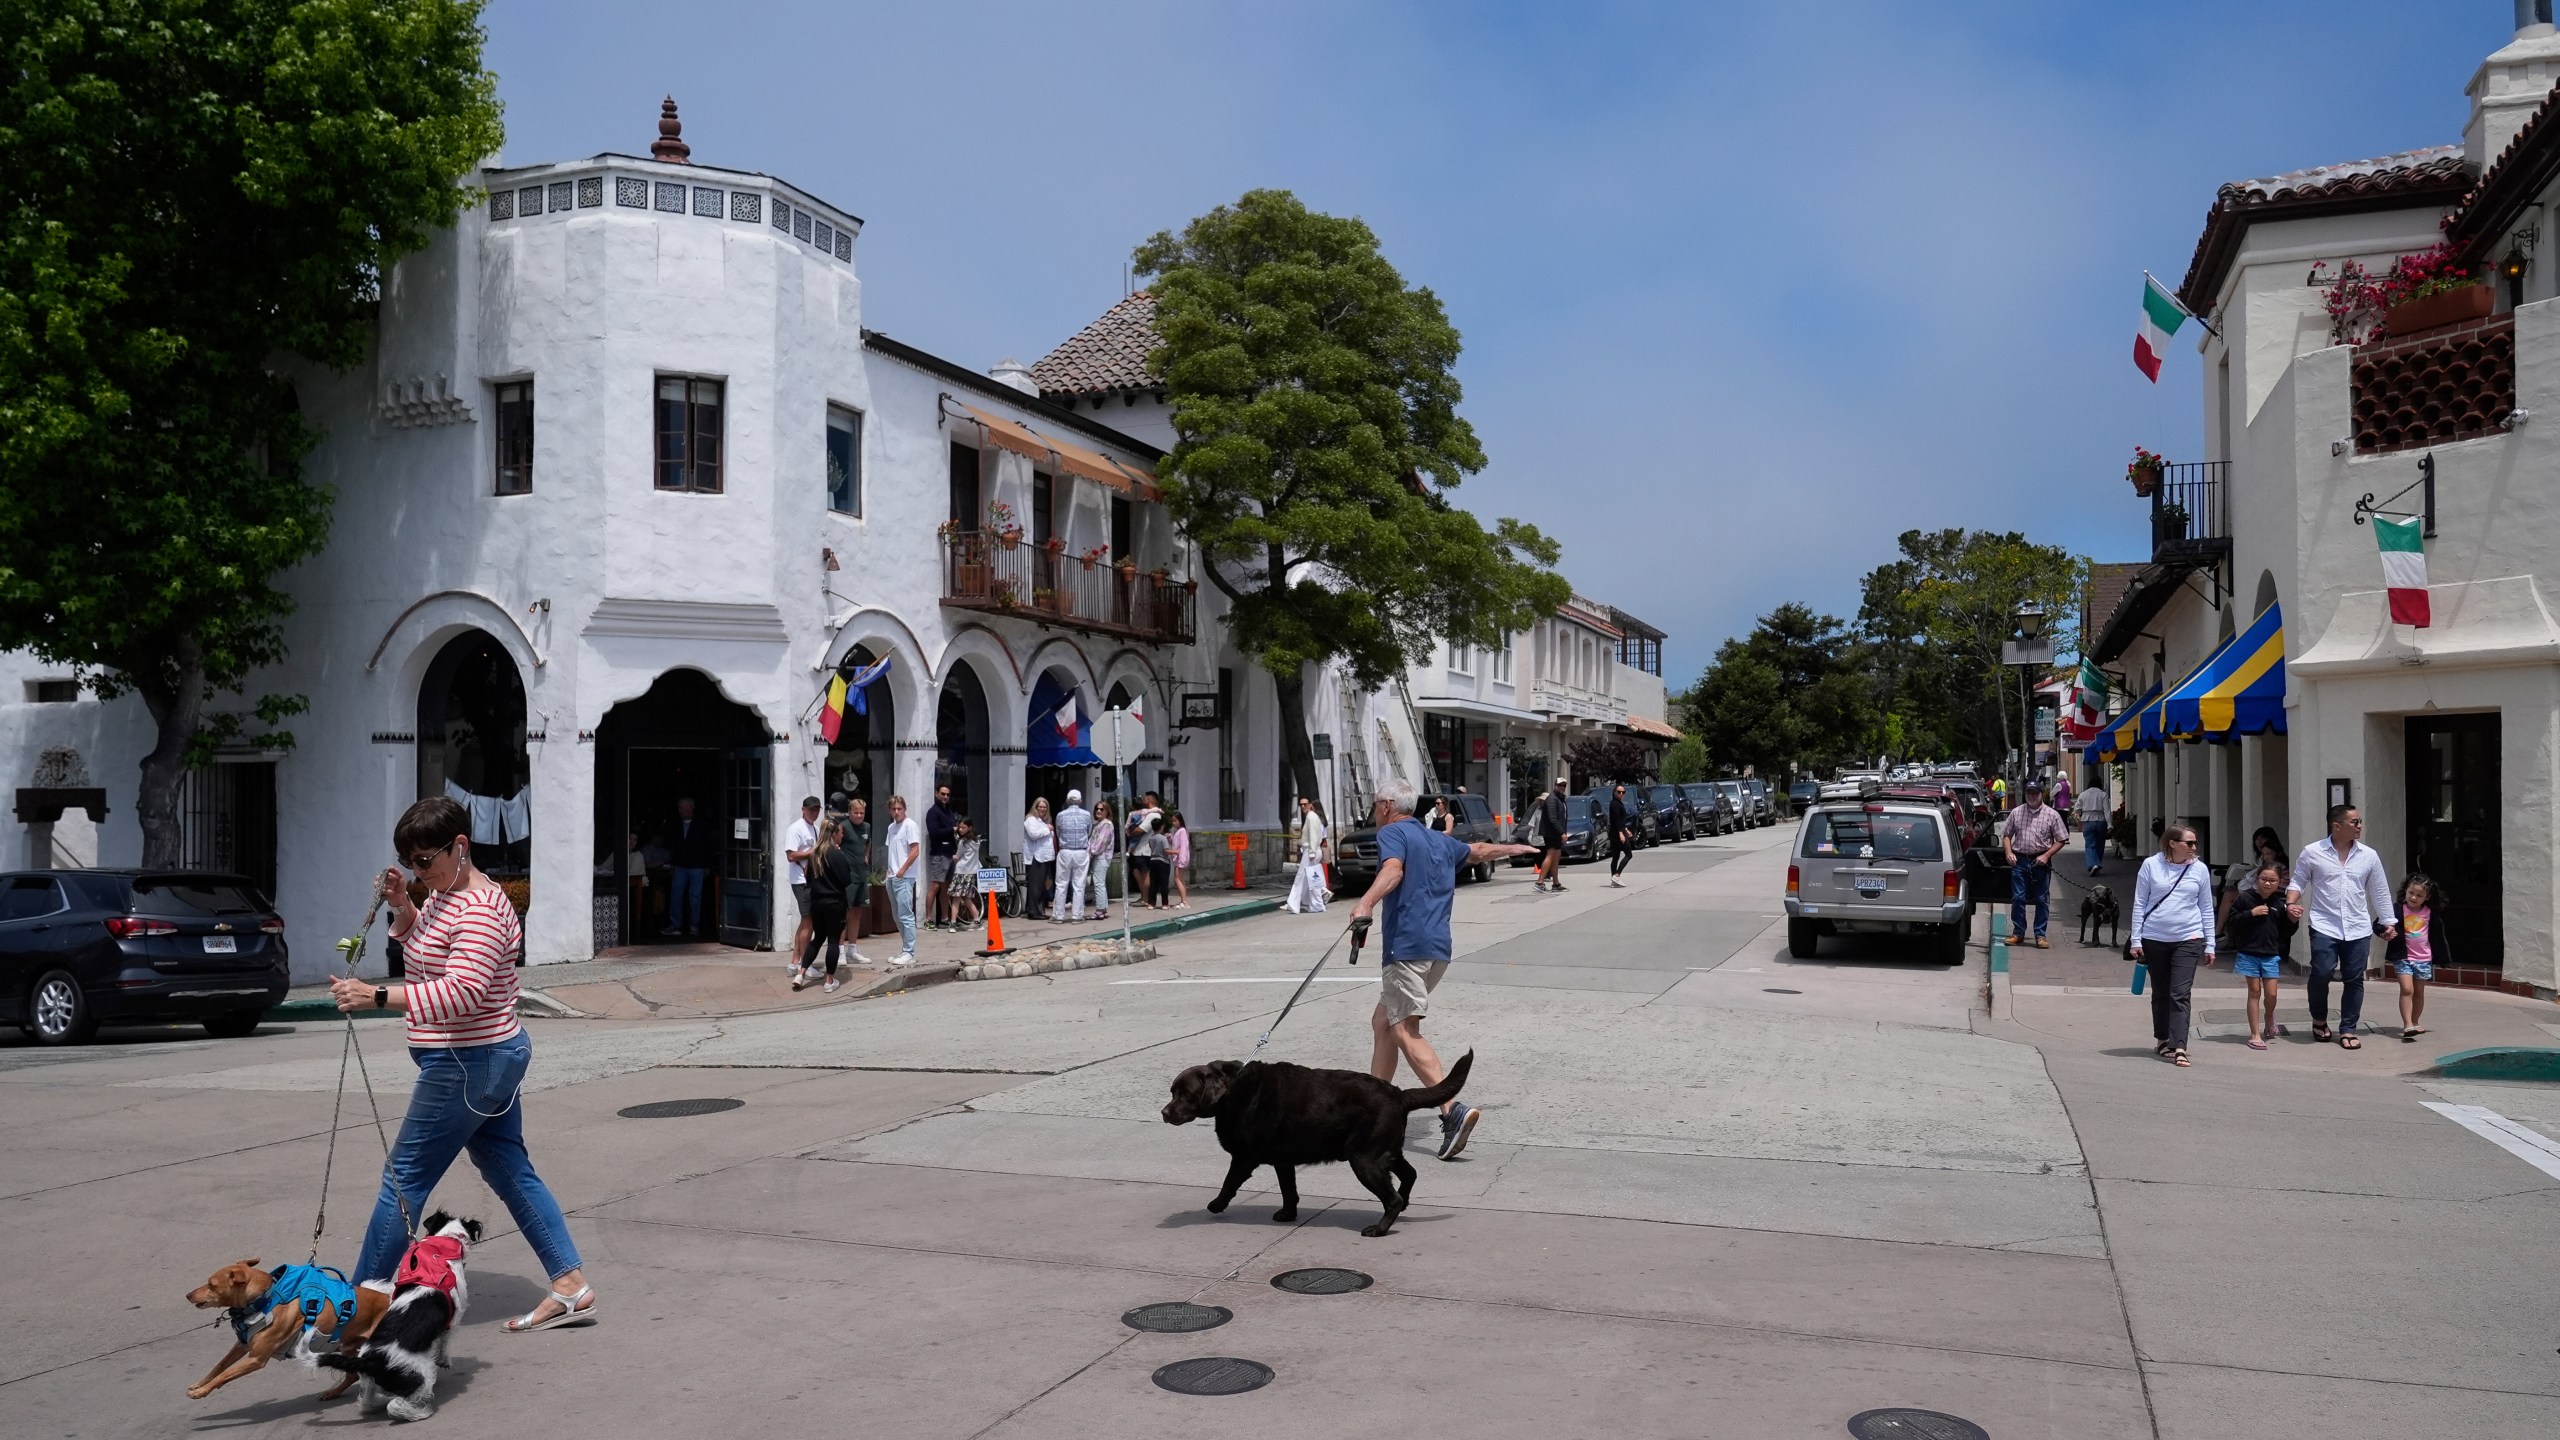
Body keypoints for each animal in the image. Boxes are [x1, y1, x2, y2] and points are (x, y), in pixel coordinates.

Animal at [184, 1260, 384, 1393]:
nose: (188, 1295)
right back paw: (332, 1393)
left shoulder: (256, 1359)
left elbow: (225, 1374)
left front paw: (201, 1392)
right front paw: (200, 1385)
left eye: (211, 1285)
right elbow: (219, 1367)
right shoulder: (241, 1346)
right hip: (348, 1348)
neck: (264, 1300)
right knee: (352, 1375)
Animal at [312, 1209, 481, 1414]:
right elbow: (445, 1341)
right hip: (421, 1374)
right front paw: (444, 1360)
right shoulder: (455, 1317)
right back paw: (420, 1411)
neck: (440, 1252)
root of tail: (371, 1361)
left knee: (366, 1401)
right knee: (396, 1405)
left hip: (371, 1379)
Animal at [1167, 1040, 1484, 1235]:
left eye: (1186, 1094)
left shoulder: (1244, 1158)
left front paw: (1216, 1204)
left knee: (1391, 1197)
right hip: (1384, 1152)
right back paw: (1403, 1204)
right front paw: (1287, 1214)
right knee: (1409, 1175)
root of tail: (1400, 1095)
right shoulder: (1284, 1161)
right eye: (1172, 1092)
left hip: (1365, 1159)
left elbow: (1229, 1182)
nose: (1164, 1112)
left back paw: (1379, 1229)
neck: (1232, 1090)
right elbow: (1288, 1190)